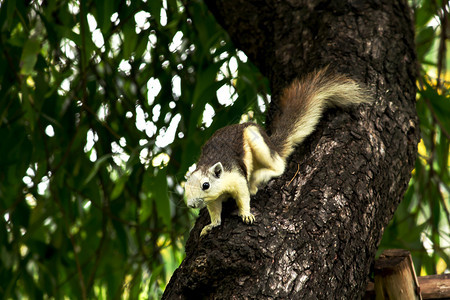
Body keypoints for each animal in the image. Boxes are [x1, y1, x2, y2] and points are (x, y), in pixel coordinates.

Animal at [185, 68, 370, 237]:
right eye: (186, 186)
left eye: (205, 185)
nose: (191, 205)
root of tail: (272, 145)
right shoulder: (213, 198)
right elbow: (215, 211)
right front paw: (211, 225)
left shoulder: (236, 176)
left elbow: (243, 195)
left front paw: (246, 214)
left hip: (258, 142)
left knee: (279, 166)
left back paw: (258, 178)